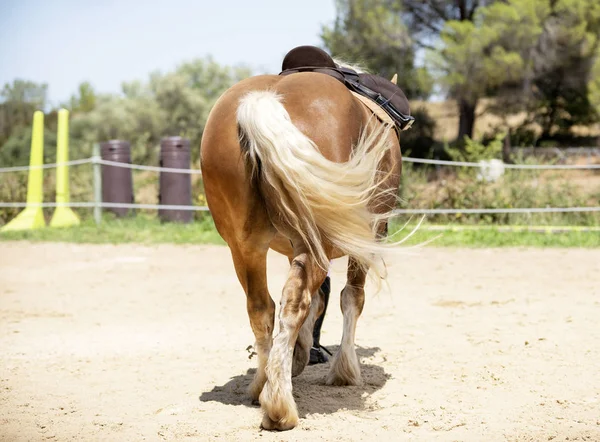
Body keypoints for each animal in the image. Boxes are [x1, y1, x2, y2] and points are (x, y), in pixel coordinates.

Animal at [200, 60, 404, 430]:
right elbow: (350, 298)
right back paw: (280, 405)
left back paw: (263, 385)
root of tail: (262, 101)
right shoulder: (366, 237)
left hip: (245, 247)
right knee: (296, 302)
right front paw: (344, 370)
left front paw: (300, 355)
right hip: (316, 241)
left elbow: (318, 301)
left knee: (262, 308)